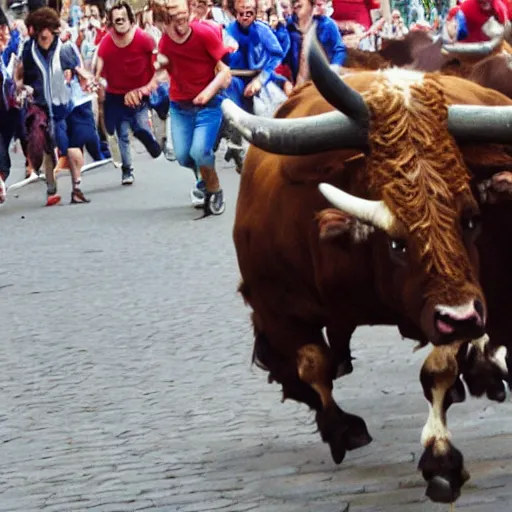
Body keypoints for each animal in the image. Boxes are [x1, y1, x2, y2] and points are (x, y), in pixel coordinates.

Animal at [226, 38, 512, 506]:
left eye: (470, 220)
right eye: (396, 241)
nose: (460, 317)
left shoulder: (466, 299)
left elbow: (438, 369)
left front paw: (440, 459)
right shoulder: (275, 304)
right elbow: (311, 365)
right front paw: (341, 429)